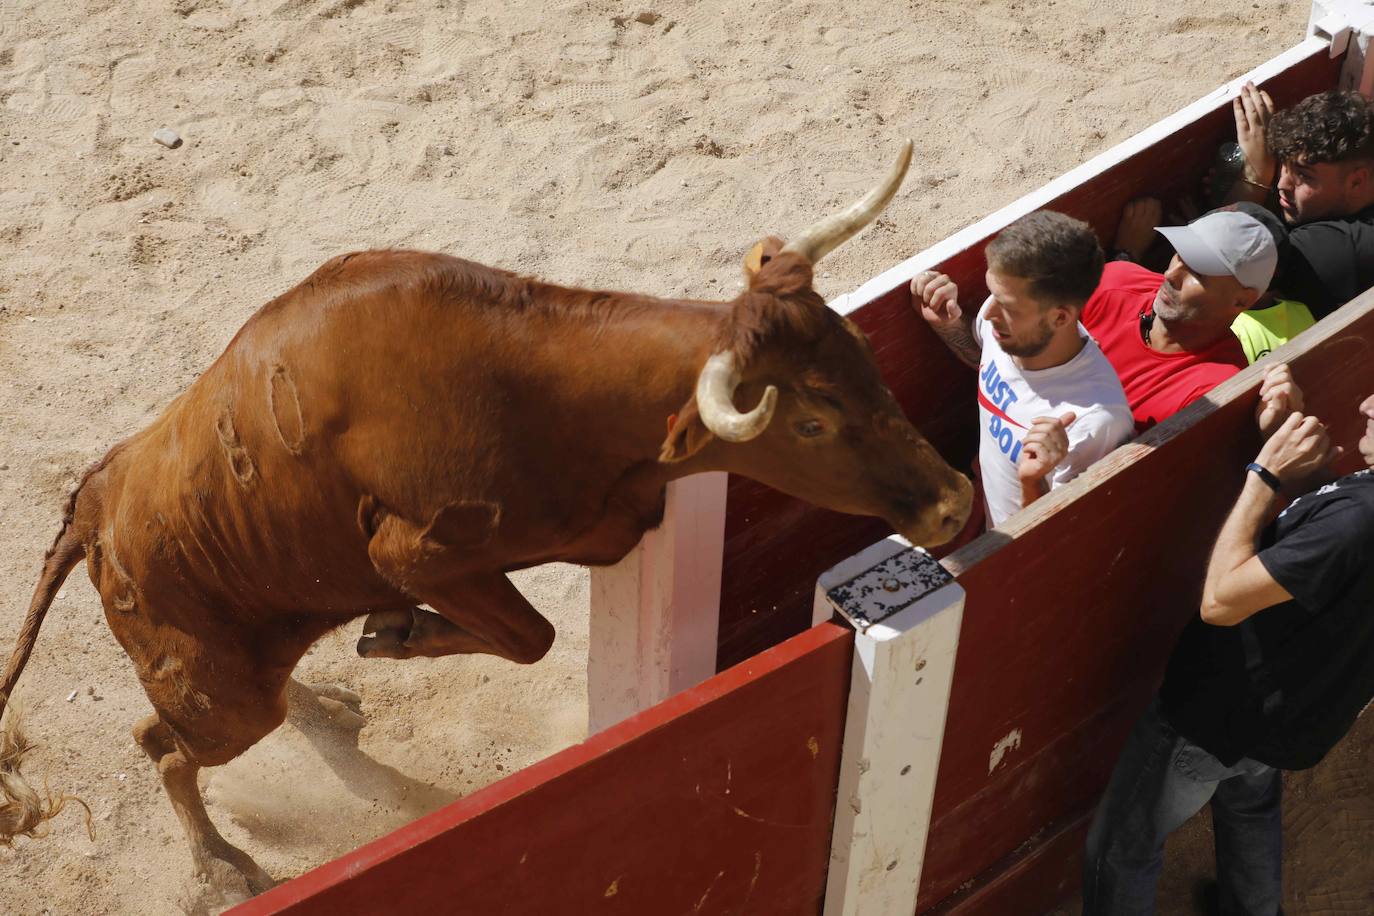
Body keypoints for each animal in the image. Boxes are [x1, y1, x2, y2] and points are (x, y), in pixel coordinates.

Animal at [0, 141, 972, 895]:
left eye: (859, 351)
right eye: (809, 422)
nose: (953, 499)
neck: (542, 387)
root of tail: (95, 503)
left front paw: (389, 636)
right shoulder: (417, 555)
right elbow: (531, 636)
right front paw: (398, 634)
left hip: (255, 648)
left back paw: (324, 706)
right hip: (217, 696)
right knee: (161, 745)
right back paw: (219, 871)